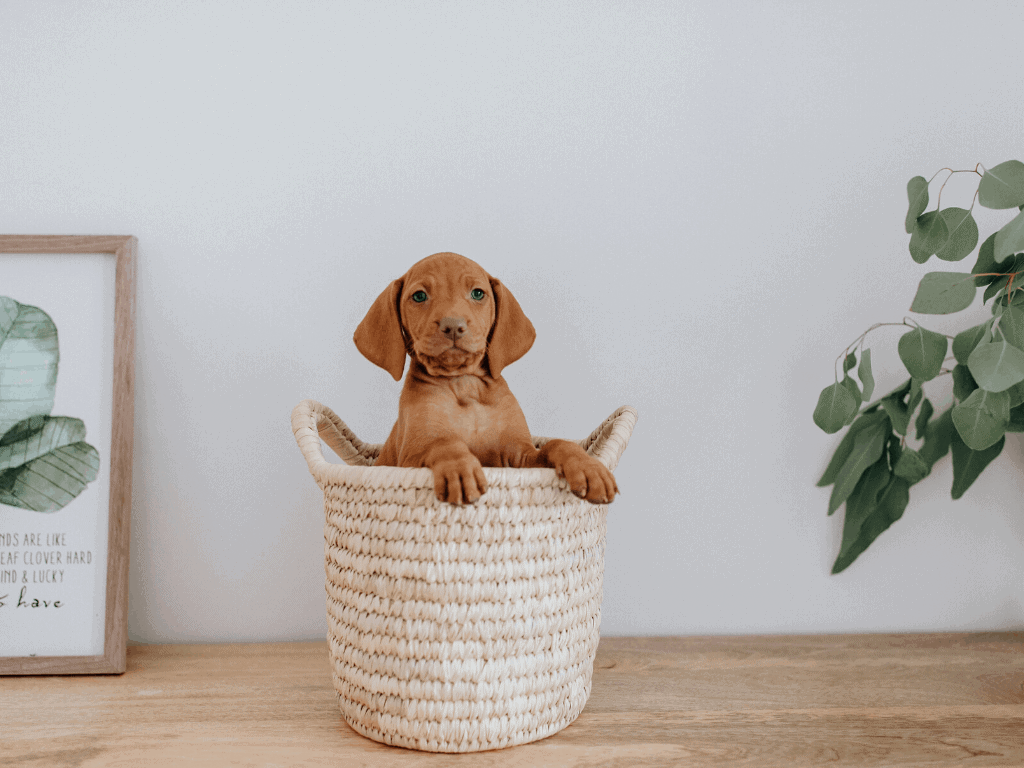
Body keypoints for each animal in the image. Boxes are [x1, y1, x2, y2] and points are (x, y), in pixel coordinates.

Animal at [356, 250, 618, 505]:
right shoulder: (409, 458)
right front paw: (459, 468)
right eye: (419, 296)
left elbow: (557, 444)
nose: (453, 326)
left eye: (478, 293)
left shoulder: (520, 455)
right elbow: (445, 443)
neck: (464, 384)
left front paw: (588, 467)